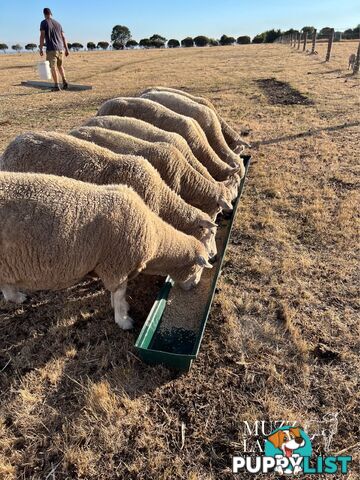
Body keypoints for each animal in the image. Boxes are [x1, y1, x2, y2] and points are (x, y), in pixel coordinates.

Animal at [0, 172, 211, 330]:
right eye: (199, 268)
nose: (194, 287)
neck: (152, 237)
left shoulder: (114, 266)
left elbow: (115, 293)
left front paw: (120, 308)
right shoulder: (116, 264)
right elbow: (120, 292)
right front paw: (123, 320)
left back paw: (16, 297)